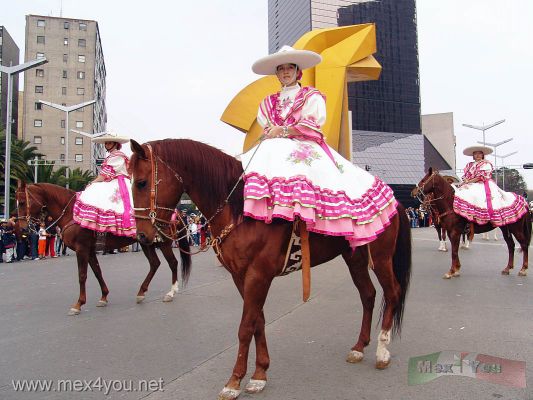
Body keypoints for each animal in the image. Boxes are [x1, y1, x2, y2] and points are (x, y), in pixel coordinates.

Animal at [14, 181, 191, 316]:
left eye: (22, 202)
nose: (22, 228)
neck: (72, 212)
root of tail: (173, 212)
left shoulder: (82, 249)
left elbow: (82, 275)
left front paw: (78, 304)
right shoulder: (90, 250)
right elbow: (97, 272)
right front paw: (103, 297)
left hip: (163, 242)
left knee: (173, 263)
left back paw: (171, 292)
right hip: (146, 242)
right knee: (155, 263)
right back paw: (141, 292)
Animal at [128, 139, 412, 398]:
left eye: (141, 182)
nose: (141, 236)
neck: (239, 208)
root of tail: (394, 201)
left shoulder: (258, 275)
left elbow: (245, 327)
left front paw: (234, 381)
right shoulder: (241, 277)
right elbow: (258, 322)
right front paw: (259, 374)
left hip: (381, 257)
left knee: (392, 293)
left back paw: (382, 351)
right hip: (354, 257)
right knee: (368, 295)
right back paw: (359, 347)